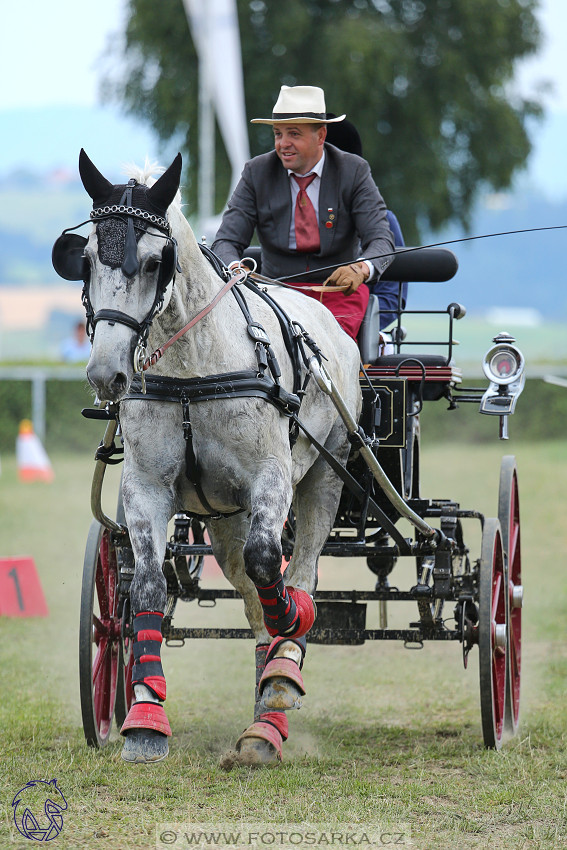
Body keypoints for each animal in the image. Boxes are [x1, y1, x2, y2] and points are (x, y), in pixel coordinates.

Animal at [54, 149, 364, 764]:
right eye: (88, 261)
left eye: (157, 262)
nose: (107, 375)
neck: (192, 375)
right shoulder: (147, 488)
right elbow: (148, 589)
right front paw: (145, 718)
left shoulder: (271, 479)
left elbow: (273, 564)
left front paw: (290, 634)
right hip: (224, 518)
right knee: (249, 595)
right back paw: (265, 714)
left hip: (324, 473)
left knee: (302, 572)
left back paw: (282, 677)